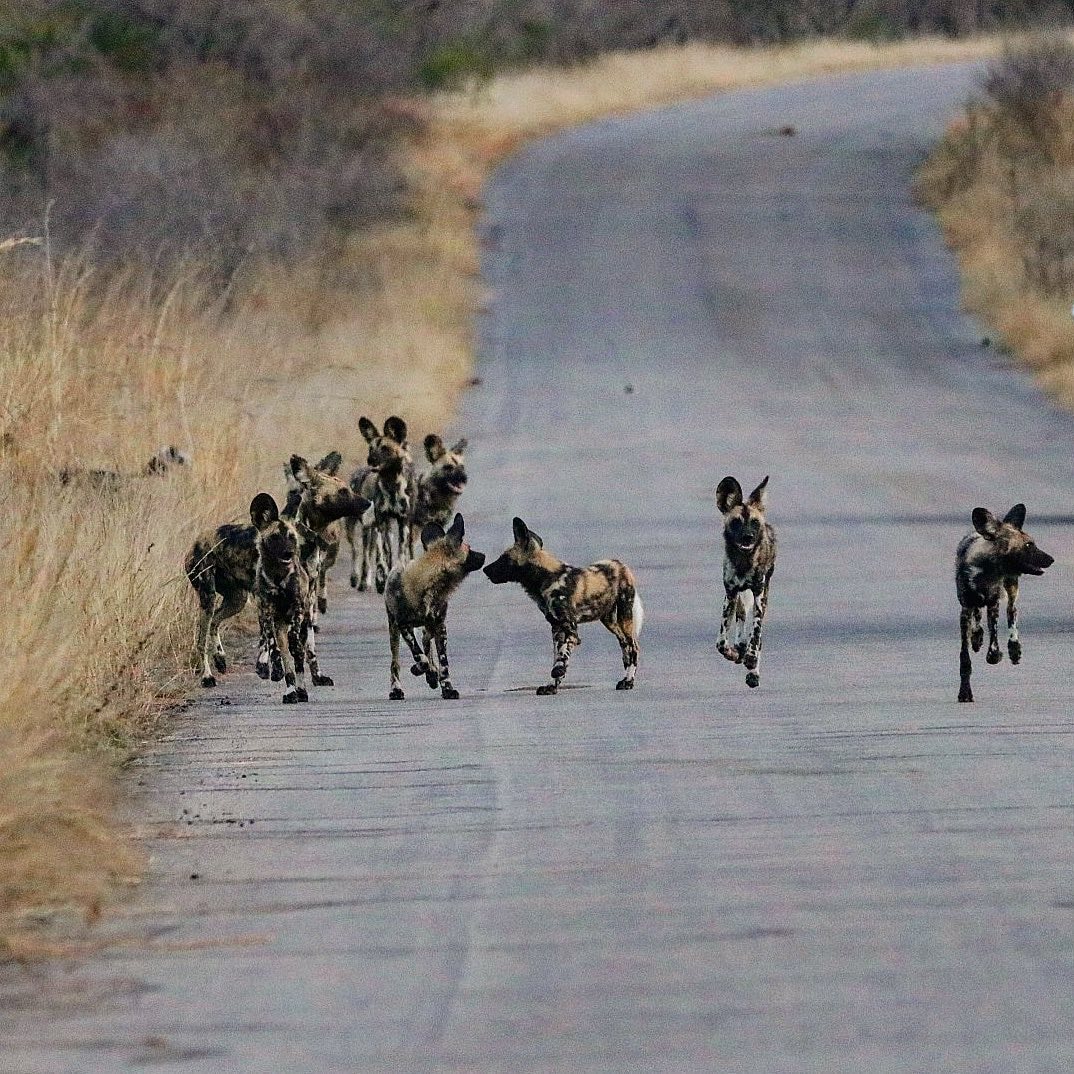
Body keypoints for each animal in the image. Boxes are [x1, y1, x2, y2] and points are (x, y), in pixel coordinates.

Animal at [347, 412, 414, 597]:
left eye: (385, 448)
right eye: (371, 448)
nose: (370, 460)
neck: (391, 484)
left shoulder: (403, 521)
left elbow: (400, 553)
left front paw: (397, 575)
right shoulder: (381, 521)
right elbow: (382, 555)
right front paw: (381, 579)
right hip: (365, 527)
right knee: (362, 553)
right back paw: (363, 580)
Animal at [384, 513, 485, 700]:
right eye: (469, 550)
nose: (483, 555)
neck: (429, 585)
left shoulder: (440, 626)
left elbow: (443, 663)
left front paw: (447, 688)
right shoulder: (404, 626)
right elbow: (419, 657)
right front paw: (422, 670)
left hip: (428, 627)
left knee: (426, 642)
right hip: (394, 629)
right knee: (395, 662)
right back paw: (397, 689)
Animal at [483, 517, 640, 695]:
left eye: (504, 559)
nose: (485, 569)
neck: (546, 578)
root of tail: (620, 565)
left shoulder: (570, 630)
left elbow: (562, 656)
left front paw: (558, 672)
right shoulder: (557, 628)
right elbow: (557, 657)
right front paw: (552, 686)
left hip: (625, 617)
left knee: (633, 647)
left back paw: (628, 681)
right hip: (609, 621)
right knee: (624, 646)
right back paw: (625, 678)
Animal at [717, 476, 777, 687]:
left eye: (754, 522)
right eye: (736, 522)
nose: (748, 537)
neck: (744, 561)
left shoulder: (759, 593)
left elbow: (756, 633)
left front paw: (751, 661)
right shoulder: (730, 594)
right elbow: (721, 642)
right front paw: (733, 653)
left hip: (764, 593)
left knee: (757, 636)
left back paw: (753, 671)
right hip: (737, 598)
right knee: (741, 618)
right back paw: (740, 648)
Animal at [953, 502, 1052, 704]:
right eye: (1028, 545)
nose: (1051, 559)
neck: (985, 571)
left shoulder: (994, 603)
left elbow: (994, 643)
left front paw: (997, 655)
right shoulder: (965, 608)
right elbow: (965, 658)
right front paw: (964, 692)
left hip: (1011, 586)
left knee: (1012, 611)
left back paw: (1014, 649)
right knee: (978, 617)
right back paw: (977, 638)